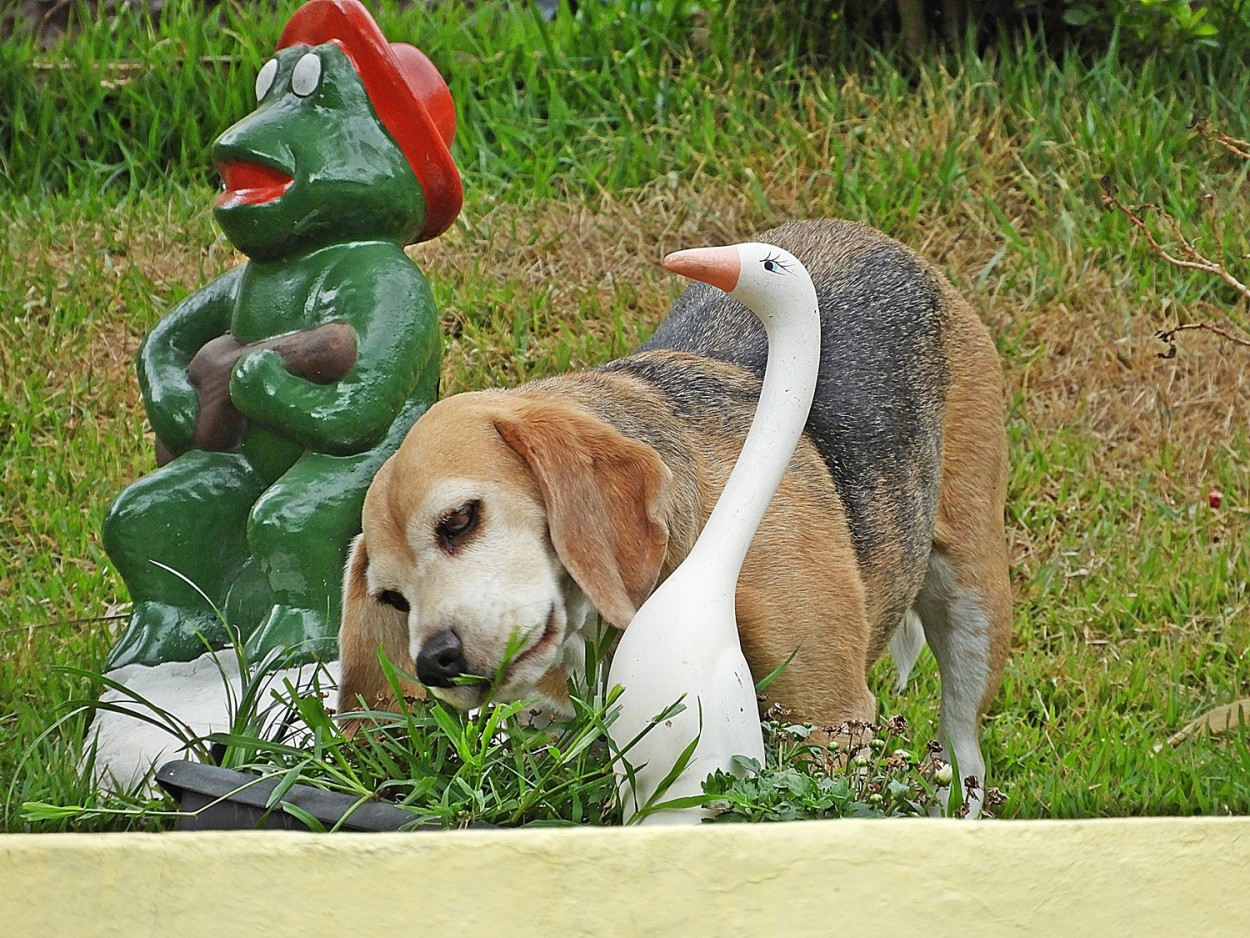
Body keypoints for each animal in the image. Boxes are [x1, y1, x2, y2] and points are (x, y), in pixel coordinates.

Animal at [337, 220, 1010, 800]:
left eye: (458, 520)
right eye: (393, 600)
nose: (434, 661)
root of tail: (868, 235)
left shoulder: (829, 720)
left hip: (973, 607)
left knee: (963, 752)